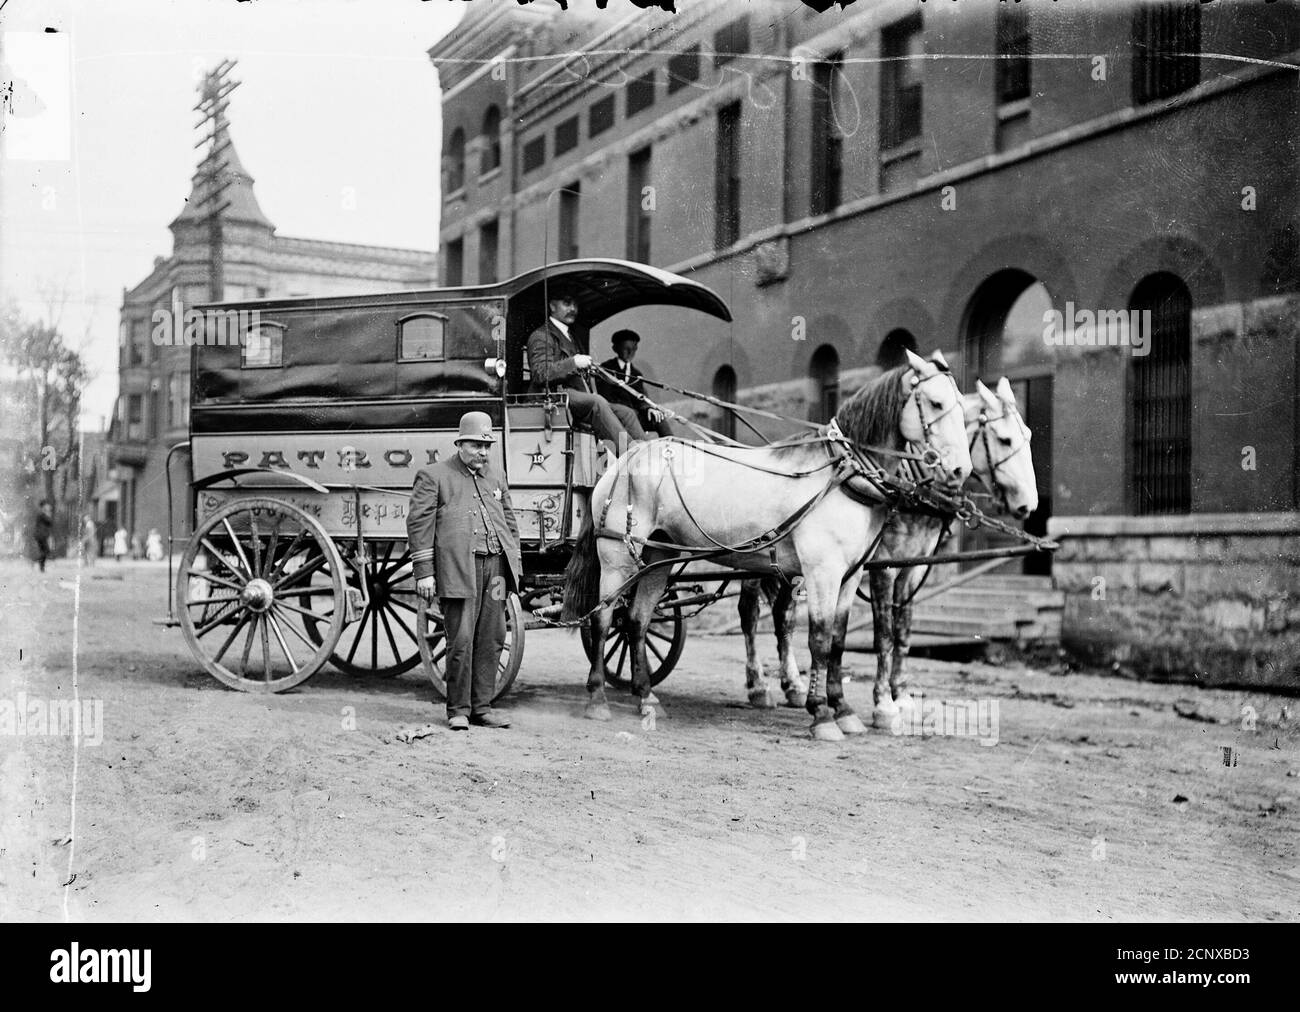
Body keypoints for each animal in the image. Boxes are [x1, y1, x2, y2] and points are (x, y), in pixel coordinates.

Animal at [564, 351, 972, 738]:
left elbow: (838, 641)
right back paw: (597, 697)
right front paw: (822, 713)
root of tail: (626, 458)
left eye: (961, 406)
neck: (841, 476)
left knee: (636, 620)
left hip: (657, 556)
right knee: (604, 618)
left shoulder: (851, 576)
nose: (961, 471)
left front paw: (843, 709)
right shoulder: (822, 573)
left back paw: (646, 696)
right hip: (617, 557)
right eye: (935, 403)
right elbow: (819, 640)